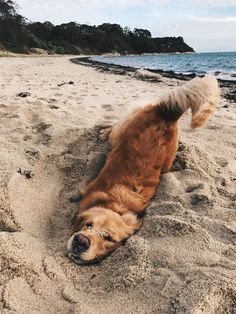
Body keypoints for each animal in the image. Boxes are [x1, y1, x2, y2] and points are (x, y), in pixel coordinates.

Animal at [66, 75, 219, 264]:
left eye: (109, 238)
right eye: (88, 225)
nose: (80, 240)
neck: (117, 206)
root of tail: (167, 112)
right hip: (124, 132)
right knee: (115, 128)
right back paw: (103, 132)